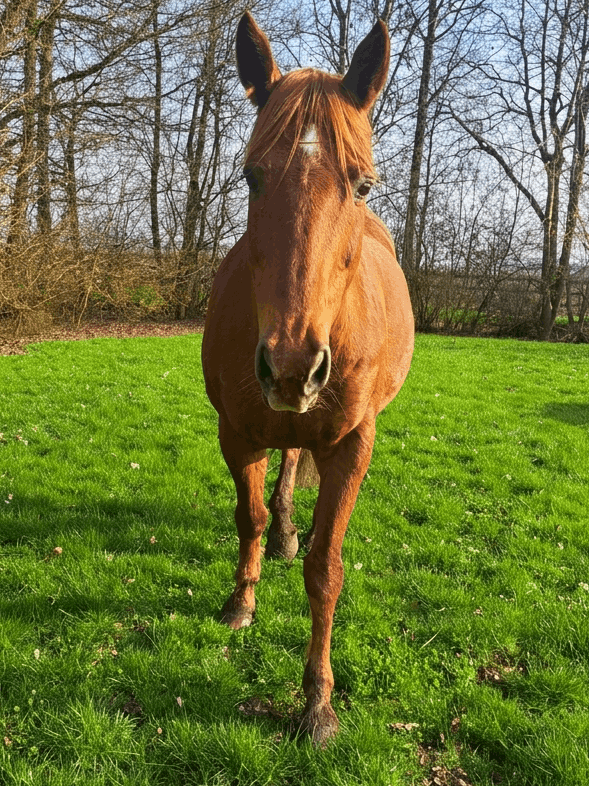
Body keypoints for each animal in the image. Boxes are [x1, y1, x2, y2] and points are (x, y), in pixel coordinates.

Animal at [202, 12, 414, 746]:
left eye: (363, 184)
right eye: (250, 177)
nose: (292, 363)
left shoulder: (351, 446)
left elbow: (326, 569)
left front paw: (317, 701)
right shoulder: (236, 432)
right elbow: (249, 516)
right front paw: (240, 601)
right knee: (287, 466)